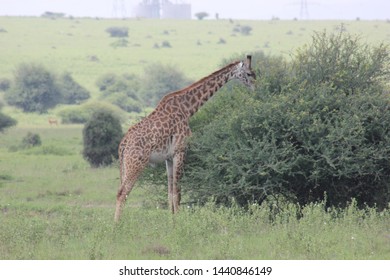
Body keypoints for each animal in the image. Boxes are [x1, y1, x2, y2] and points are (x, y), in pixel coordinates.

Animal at [116, 54, 256, 221]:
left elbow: (170, 193)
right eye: (249, 73)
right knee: (122, 193)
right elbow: (178, 193)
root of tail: (123, 144)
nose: (256, 87)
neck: (187, 109)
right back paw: (116, 225)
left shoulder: (169, 158)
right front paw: (180, 222)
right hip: (136, 163)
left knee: (121, 191)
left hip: (126, 164)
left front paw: (172, 221)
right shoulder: (181, 151)